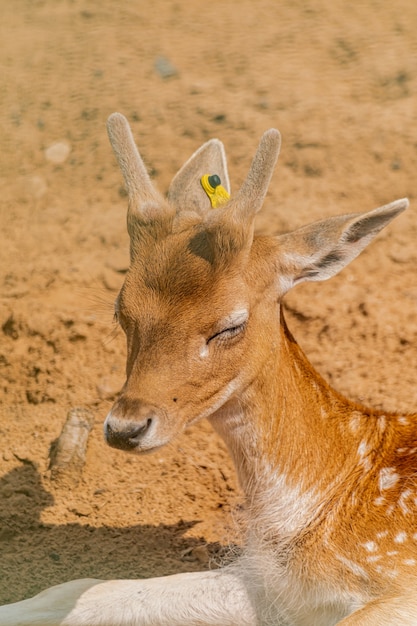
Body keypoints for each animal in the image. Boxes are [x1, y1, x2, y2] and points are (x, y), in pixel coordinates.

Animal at [1, 113, 414, 624]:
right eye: (121, 311)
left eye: (230, 324)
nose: (125, 428)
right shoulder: (271, 587)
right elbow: (82, 589)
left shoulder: (396, 575)